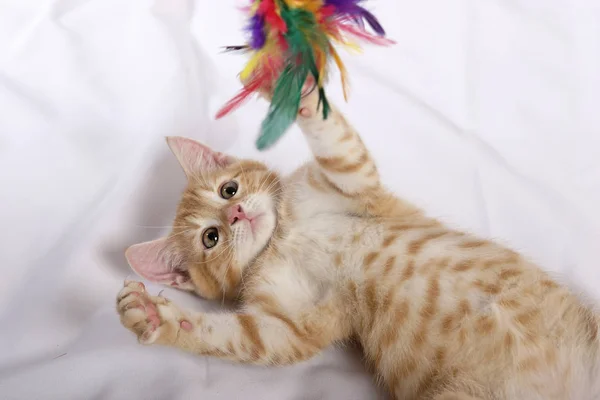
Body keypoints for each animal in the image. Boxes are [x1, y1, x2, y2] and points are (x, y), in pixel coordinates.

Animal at [116, 85, 600, 400]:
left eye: (228, 189)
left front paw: (298, 86)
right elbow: (237, 336)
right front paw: (153, 316)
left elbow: (338, 143)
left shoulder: (352, 183)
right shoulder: (288, 326)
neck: (282, 236)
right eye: (211, 238)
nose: (235, 214)